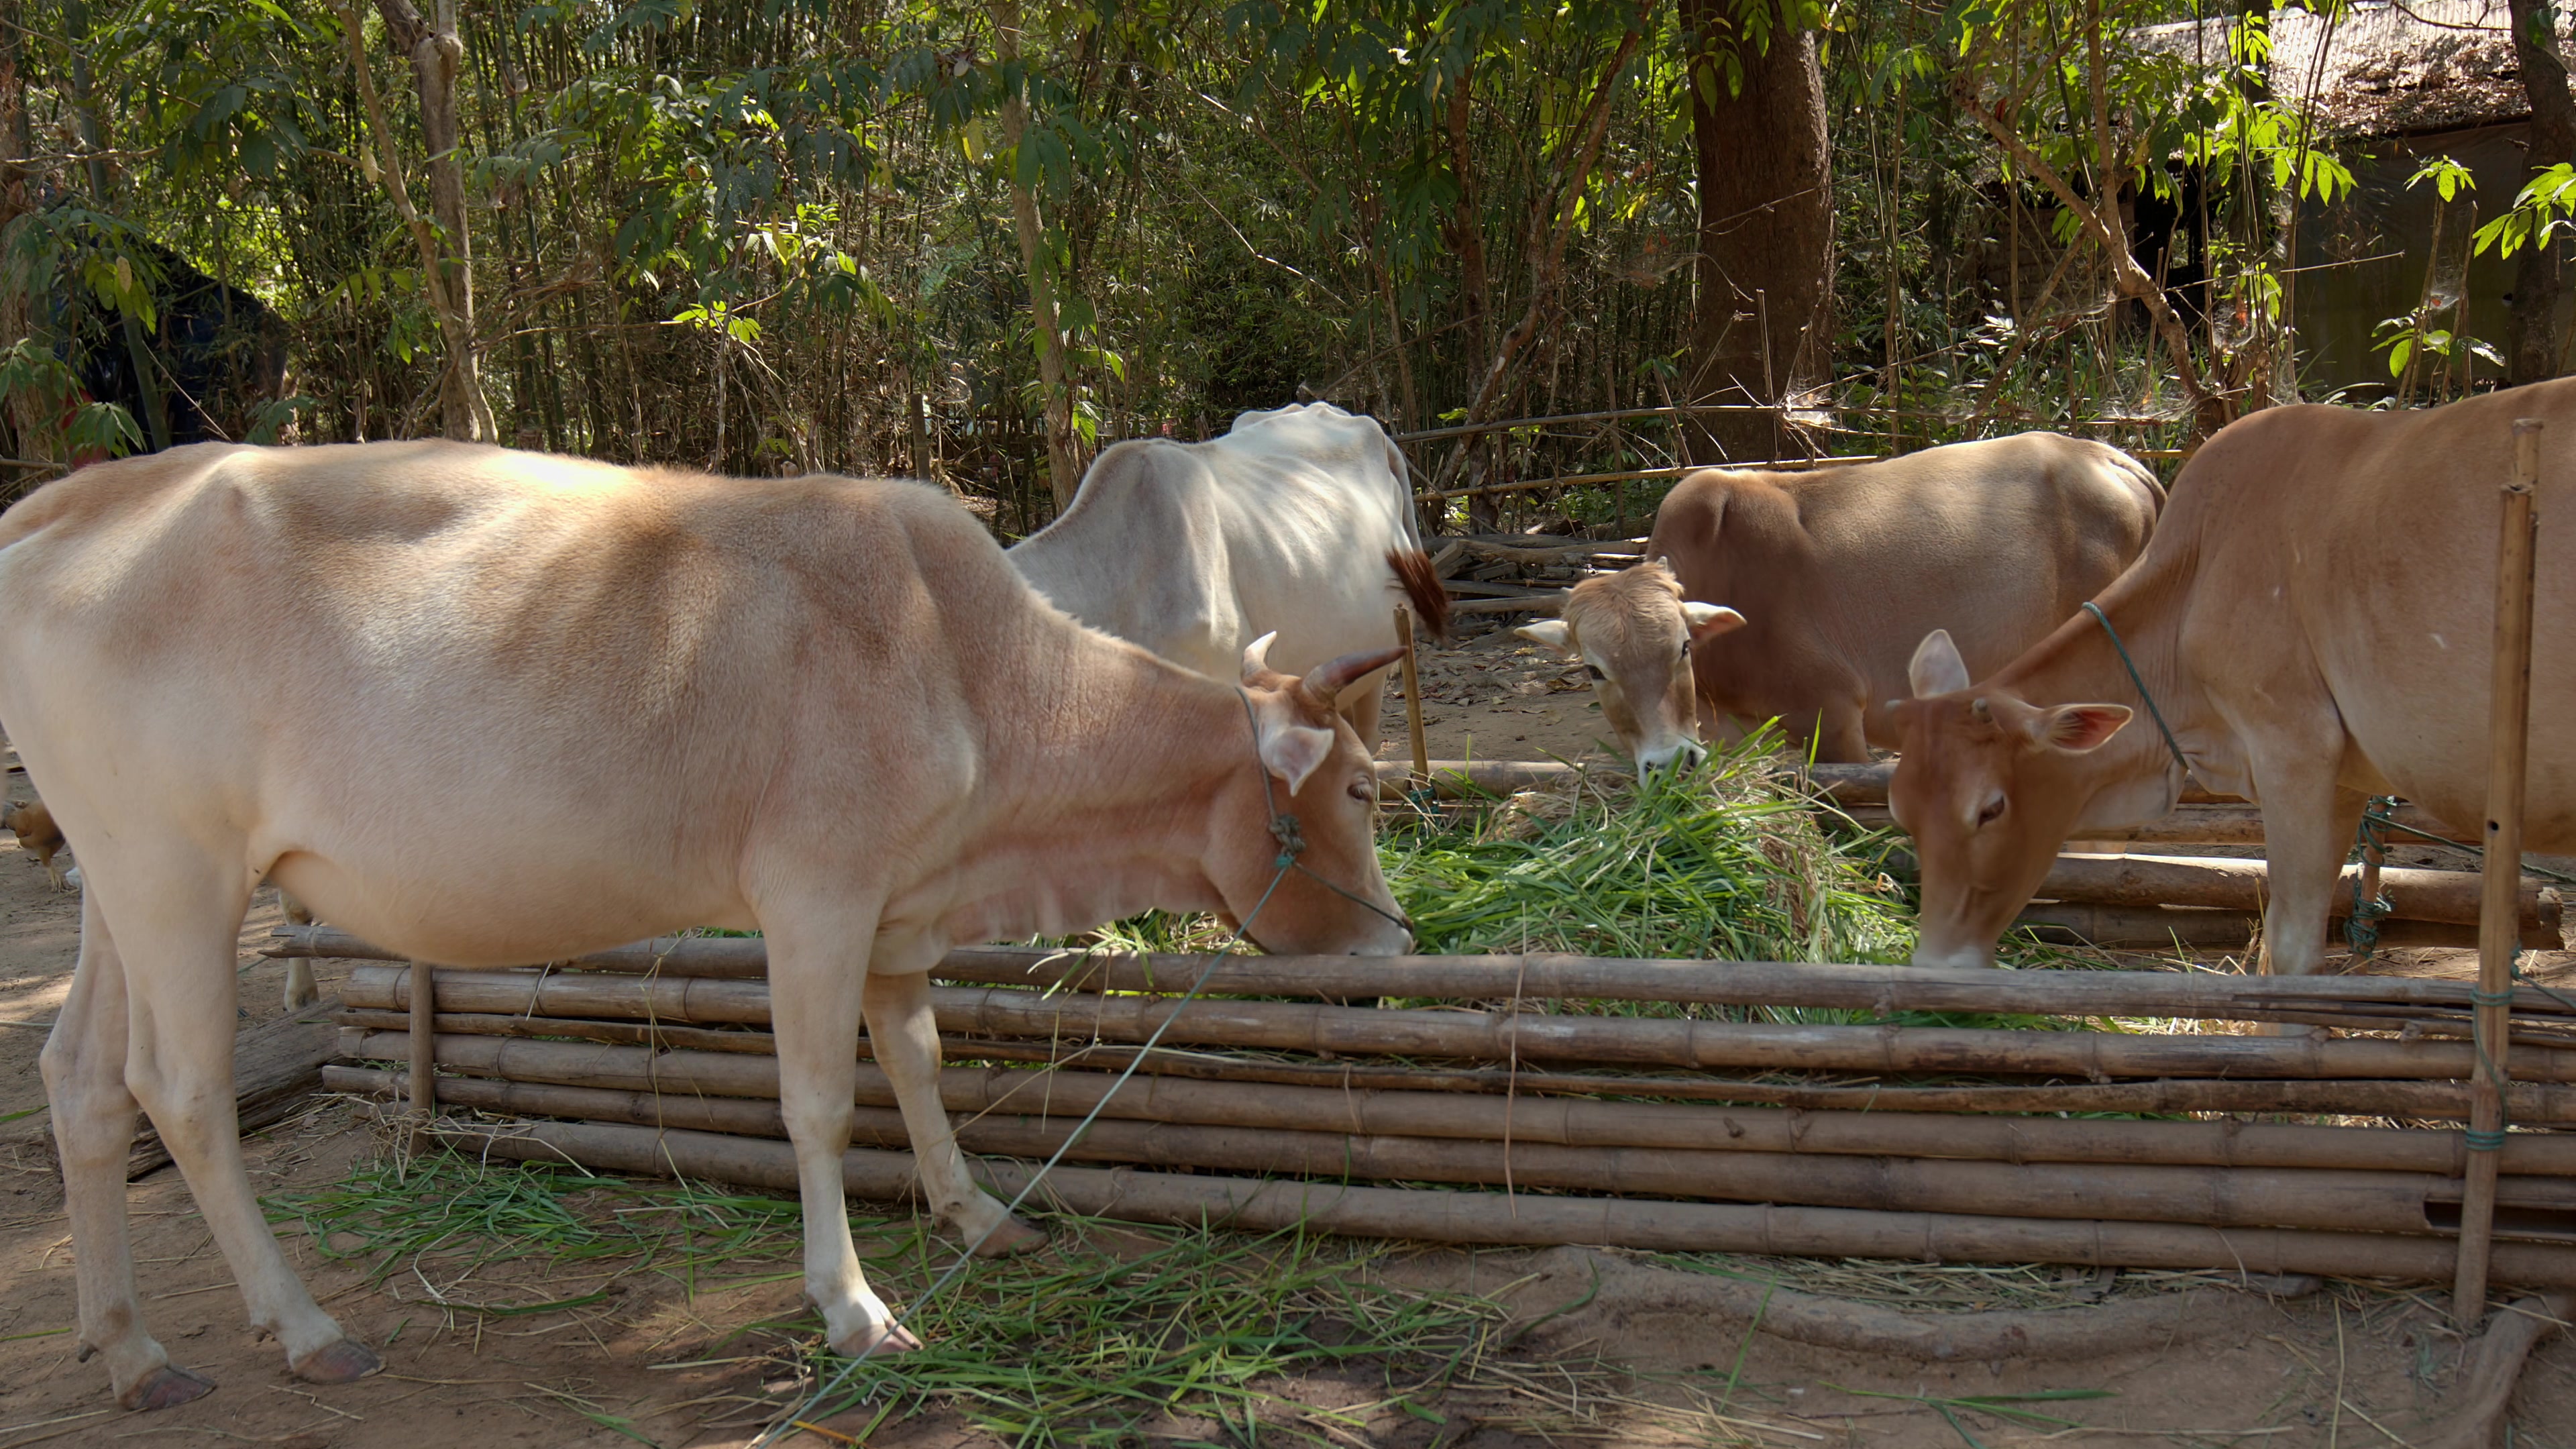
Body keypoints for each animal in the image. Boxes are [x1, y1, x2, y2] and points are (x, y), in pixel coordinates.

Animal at [0, 440, 1410, 1411]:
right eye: (1358, 788)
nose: (1398, 945)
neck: (967, 667)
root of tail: (64, 503)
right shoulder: (816, 895)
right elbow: (821, 1105)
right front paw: (853, 1307)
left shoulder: (898, 906)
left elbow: (918, 1061)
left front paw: (977, 1213)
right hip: (179, 874)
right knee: (181, 1088)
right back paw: (302, 1328)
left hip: (119, 885)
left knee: (80, 1079)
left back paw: (129, 1349)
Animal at [1887, 384, 2576, 974]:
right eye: (1900, 809)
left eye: (1991, 808)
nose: (1936, 965)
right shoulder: (2346, 778)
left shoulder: (2292, 746)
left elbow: (2290, 947)